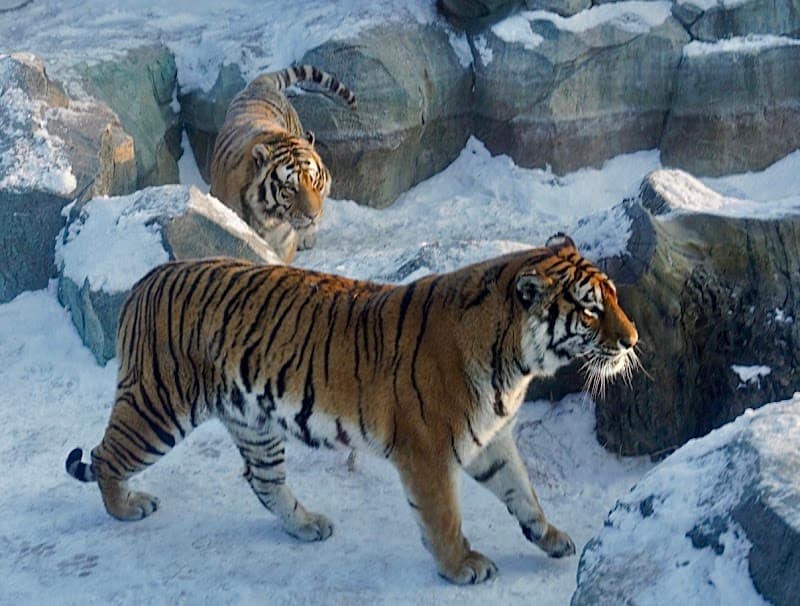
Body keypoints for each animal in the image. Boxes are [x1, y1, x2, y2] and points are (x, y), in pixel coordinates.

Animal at [65, 234, 639, 585]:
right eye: (591, 310)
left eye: (613, 298)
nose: (633, 340)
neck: (515, 364)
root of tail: (147, 278)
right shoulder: (428, 450)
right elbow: (444, 515)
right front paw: (460, 566)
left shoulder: (490, 439)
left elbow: (523, 493)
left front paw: (551, 538)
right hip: (159, 407)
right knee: (106, 454)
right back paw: (126, 507)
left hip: (253, 420)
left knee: (263, 482)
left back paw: (306, 525)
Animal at [209, 64, 356, 264]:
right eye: (290, 188)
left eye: (315, 182)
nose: (313, 216)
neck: (269, 223)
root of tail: (260, 83)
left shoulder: (284, 243)